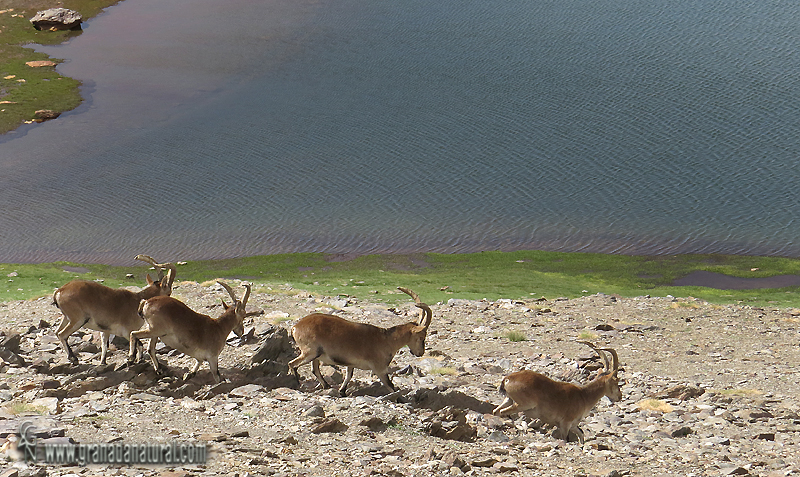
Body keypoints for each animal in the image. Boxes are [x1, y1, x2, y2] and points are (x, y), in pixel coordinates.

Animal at [290, 286, 432, 394]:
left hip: (316, 355)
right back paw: (297, 385)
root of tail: (295, 327)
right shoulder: (380, 368)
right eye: (421, 337)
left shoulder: (350, 363)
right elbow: (390, 386)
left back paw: (327, 386)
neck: (387, 340)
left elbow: (348, 375)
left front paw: (342, 391)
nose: (420, 353)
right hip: (310, 352)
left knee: (314, 370)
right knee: (293, 364)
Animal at [490, 340, 620, 440]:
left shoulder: (573, 426)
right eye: (616, 380)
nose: (620, 396)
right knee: (503, 412)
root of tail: (508, 379)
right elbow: (565, 439)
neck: (584, 396)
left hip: (508, 399)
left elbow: (581, 435)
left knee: (496, 411)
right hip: (523, 404)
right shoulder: (565, 424)